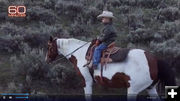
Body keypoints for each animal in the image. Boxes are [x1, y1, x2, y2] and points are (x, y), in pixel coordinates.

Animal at [45, 36, 176, 100]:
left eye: (49, 47)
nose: (47, 60)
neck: (81, 54)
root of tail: (154, 59)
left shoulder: (87, 82)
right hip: (151, 88)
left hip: (133, 90)